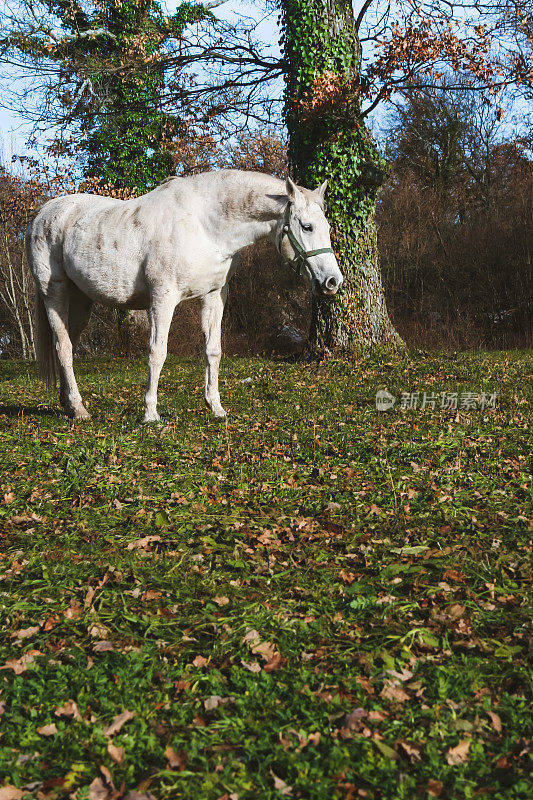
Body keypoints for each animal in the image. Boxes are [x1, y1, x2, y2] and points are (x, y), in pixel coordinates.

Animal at [26, 168, 340, 418]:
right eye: (307, 226)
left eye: (326, 226)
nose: (333, 281)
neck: (205, 225)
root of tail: (42, 215)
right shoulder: (162, 299)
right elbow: (157, 352)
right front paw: (150, 413)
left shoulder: (214, 295)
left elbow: (213, 351)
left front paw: (215, 407)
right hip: (54, 294)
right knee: (63, 347)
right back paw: (79, 410)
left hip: (81, 300)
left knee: (66, 345)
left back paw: (69, 404)